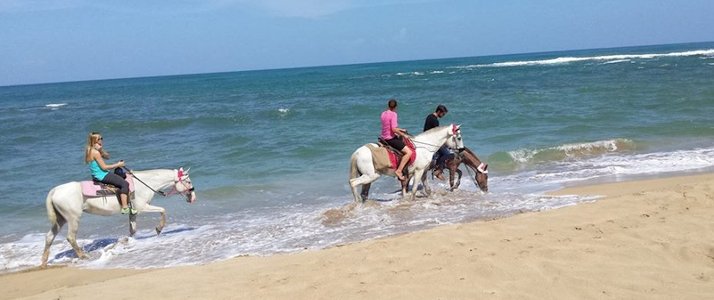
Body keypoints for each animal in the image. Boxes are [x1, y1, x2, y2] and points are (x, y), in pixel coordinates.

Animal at [41, 166, 197, 268]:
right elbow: (163, 210)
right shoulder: (142, 207)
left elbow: (132, 230)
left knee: (49, 237)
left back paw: (44, 262)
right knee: (71, 237)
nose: (193, 197)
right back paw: (84, 256)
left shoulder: (133, 212)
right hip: (73, 218)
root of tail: (54, 191)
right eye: (188, 181)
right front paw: (159, 228)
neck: (144, 184)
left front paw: (124, 243)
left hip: (60, 219)